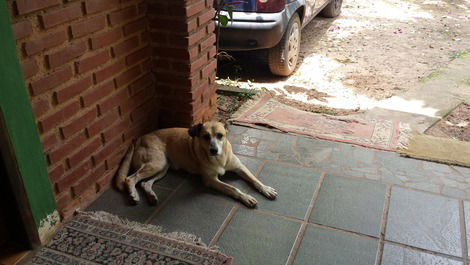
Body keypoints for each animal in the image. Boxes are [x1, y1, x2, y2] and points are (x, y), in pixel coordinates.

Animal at [115, 119, 278, 206]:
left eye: (220, 135)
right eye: (205, 137)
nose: (214, 150)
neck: (220, 159)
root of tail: (140, 138)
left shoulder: (240, 167)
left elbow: (254, 179)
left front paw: (266, 189)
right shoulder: (211, 180)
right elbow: (233, 189)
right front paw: (246, 197)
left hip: (162, 167)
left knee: (145, 183)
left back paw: (151, 196)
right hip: (156, 163)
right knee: (130, 178)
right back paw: (133, 195)